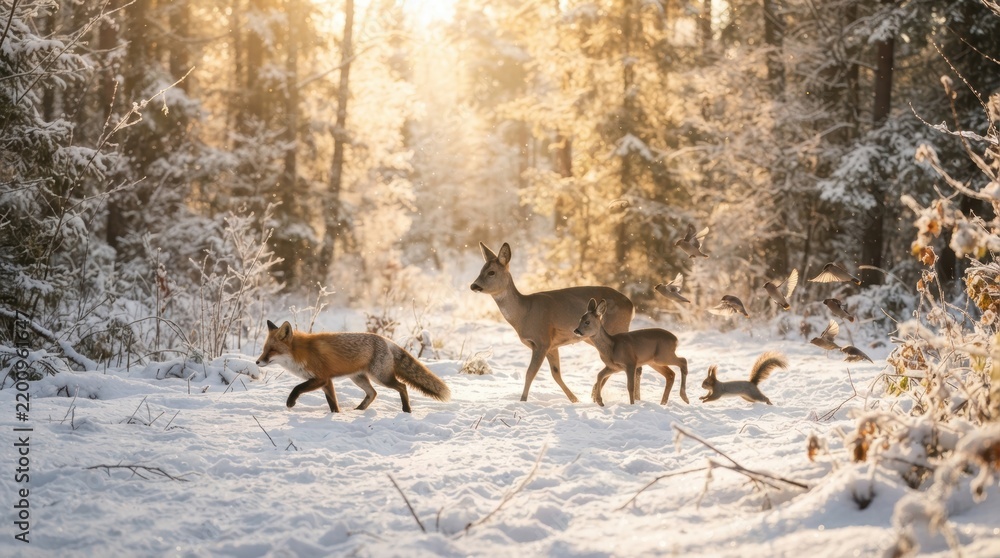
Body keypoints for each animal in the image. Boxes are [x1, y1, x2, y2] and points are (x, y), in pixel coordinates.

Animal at [255, 320, 451, 413]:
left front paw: (291, 402)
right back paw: (359, 410)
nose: (257, 362)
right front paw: (336, 415)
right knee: (373, 394)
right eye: (264, 350)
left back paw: (406, 410)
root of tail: (385, 340)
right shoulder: (326, 382)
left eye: (272, 350)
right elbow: (333, 403)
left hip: (381, 377)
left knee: (402, 386)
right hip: (358, 378)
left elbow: (297, 388)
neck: (300, 353)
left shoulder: (321, 378)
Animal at [470, 242, 634, 403]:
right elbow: (556, 373)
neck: (524, 313)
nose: (473, 285)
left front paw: (522, 400)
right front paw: (574, 399)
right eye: (481, 269)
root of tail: (631, 305)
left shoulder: (542, 340)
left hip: (615, 328)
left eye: (491, 272)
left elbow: (530, 373)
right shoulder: (552, 345)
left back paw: (596, 395)